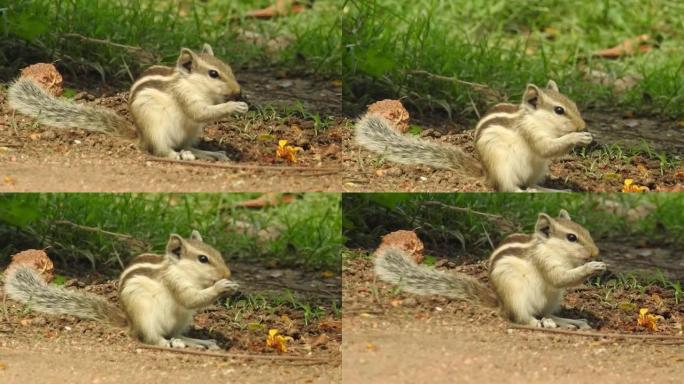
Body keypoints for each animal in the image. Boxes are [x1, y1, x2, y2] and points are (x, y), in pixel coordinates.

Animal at [4, 230, 238, 350]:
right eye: (203, 259)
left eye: (217, 253)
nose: (227, 273)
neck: (181, 270)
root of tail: (131, 324)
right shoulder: (174, 281)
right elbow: (190, 298)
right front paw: (221, 286)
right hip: (145, 315)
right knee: (152, 338)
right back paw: (168, 343)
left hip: (182, 319)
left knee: (175, 334)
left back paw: (200, 342)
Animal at [7, 43, 248, 160]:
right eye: (213, 74)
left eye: (228, 67)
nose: (238, 91)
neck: (192, 84)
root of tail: (141, 137)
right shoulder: (184, 95)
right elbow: (201, 112)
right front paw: (234, 106)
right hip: (156, 128)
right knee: (161, 149)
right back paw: (176, 155)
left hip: (192, 132)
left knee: (187, 146)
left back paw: (211, 154)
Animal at [356, 80, 592, 192]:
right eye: (559, 110)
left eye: (574, 104)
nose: (583, 125)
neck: (535, 120)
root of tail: (487, 174)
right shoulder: (530, 132)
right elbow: (546, 148)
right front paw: (578, 138)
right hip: (502, 165)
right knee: (509, 188)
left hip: (539, 168)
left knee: (531, 183)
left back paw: (551, 190)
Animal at [376, 208, 608, 328]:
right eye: (571, 238)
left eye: (586, 231)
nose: (595, 252)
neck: (552, 250)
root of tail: (501, 304)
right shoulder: (544, 261)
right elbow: (559, 278)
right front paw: (591, 267)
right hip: (516, 294)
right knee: (522, 317)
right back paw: (539, 323)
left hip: (553, 299)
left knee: (547, 313)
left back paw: (571, 321)